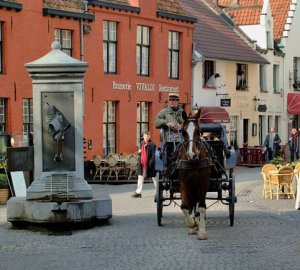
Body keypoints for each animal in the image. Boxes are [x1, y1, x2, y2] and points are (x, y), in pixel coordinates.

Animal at [177, 110, 212, 239]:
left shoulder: (204, 182)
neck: (193, 162)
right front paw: (191, 225)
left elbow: (201, 206)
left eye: (198, 131)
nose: (192, 154)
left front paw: (201, 230)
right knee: (191, 204)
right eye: (183, 132)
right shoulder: (183, 183)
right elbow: (184, 206)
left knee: (197, 205)